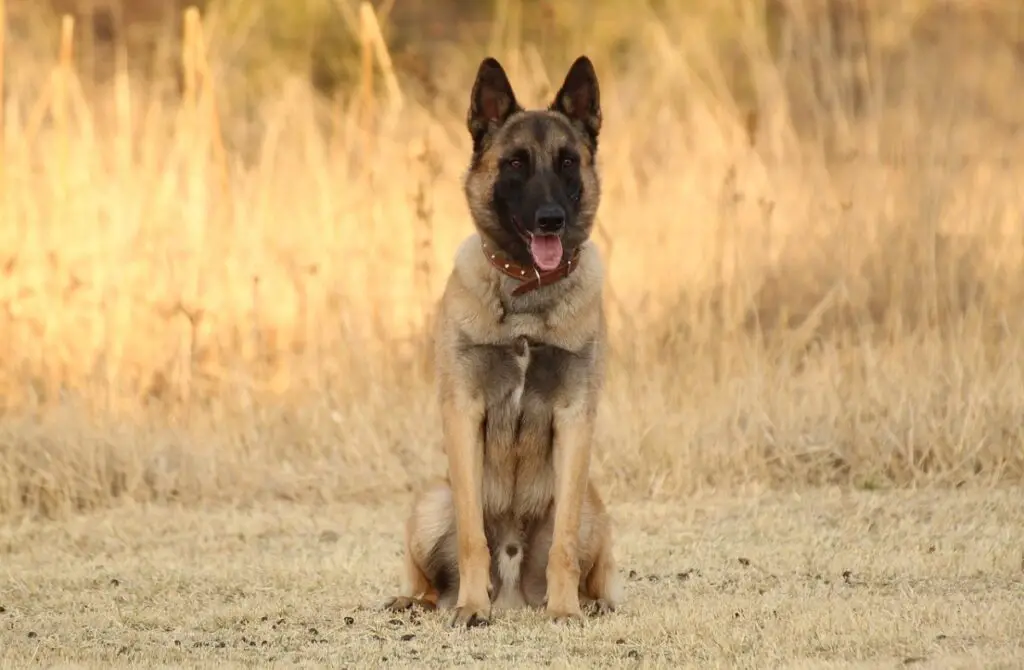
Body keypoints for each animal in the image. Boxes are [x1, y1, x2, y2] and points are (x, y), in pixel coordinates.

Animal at [382, 55, 618, 626]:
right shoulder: (463, 411)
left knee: (590, 564)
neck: (527, 293)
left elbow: (562, 546)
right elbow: (472, 536)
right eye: (514, 164)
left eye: (567, 162)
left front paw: (564, 610)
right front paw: (471, 606)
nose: (551, 219)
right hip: (432, 500)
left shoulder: (576, 416)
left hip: (595, 507)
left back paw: (589, 603)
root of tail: (514, 594)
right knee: (431, 583)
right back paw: (419, 601)